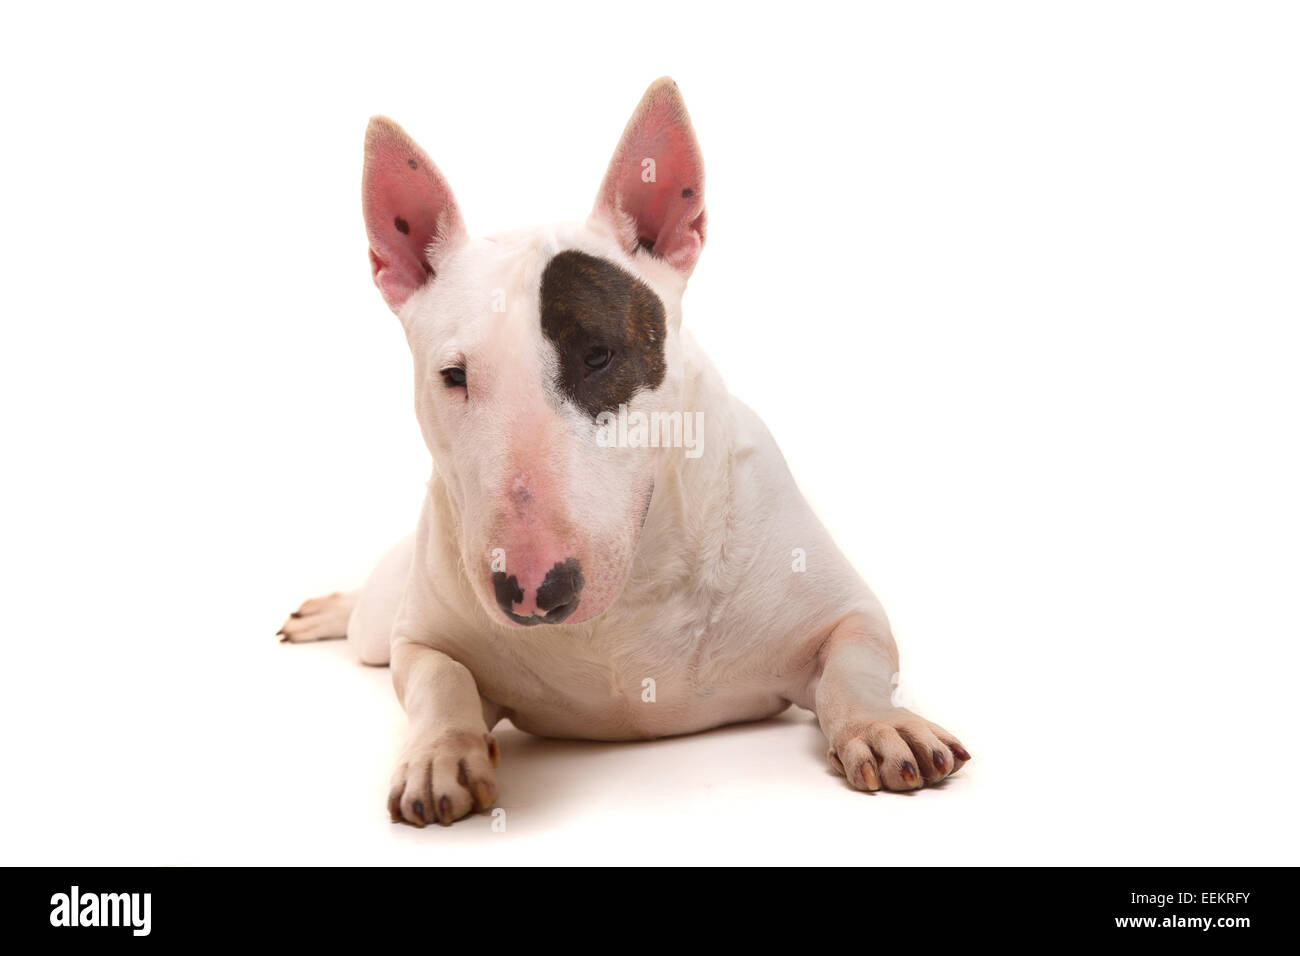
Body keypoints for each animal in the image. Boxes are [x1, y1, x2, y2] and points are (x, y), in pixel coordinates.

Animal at [287, 76, 977, 822]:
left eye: (599, 355)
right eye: (454, 376)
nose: (530, 591)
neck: (628, 605)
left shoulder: (844, 611)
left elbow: (858, 656)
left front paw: (883, 727)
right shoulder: (426, 635)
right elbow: (438, 679)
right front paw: (441, 755)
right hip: (387, 612)